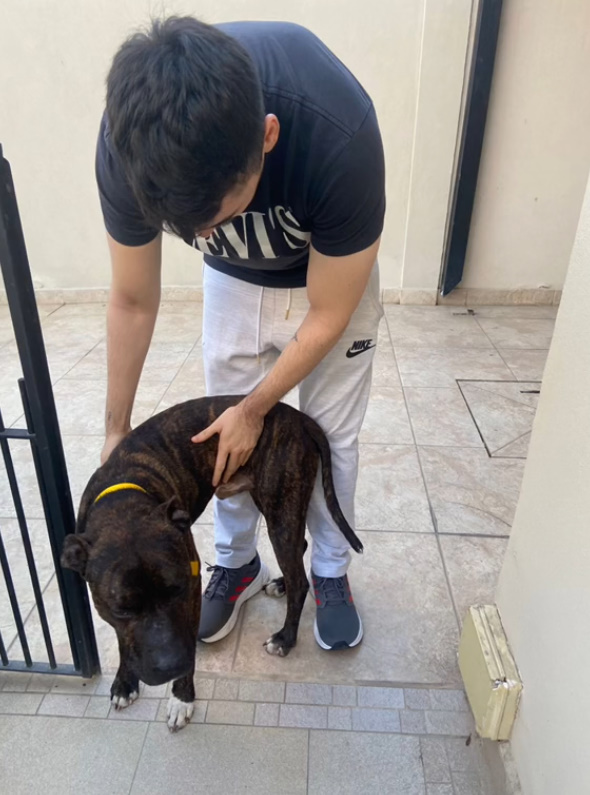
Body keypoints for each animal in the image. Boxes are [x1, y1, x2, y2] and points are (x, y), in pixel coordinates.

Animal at [62, 394, 364, 732]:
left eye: (176, 591)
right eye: (123, 609)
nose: (169, 666)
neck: (123, 503)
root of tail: (297, 417)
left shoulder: (191, 586)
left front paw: (182, 698)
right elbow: (122, 638)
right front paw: (125, 682)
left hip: (281, 504)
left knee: (300, 578)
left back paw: (285, 637)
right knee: (299, 550)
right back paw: (281, 584)